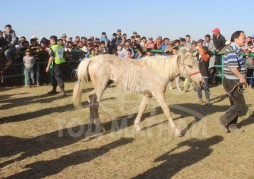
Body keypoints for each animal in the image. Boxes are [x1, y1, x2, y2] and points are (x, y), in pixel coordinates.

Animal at [72, 48, 203, 136]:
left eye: (197, 63)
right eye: (189, 65)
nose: (201, 82)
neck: (160, 70)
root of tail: (92, 59)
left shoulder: (148, 94)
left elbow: (142, 108)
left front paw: (137, 126)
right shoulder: (158, 93)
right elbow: (167, 111)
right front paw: (177, 131)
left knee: (91, 98)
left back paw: (91, 126)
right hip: (101, 86)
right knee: (95, 102)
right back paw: (100, 128)